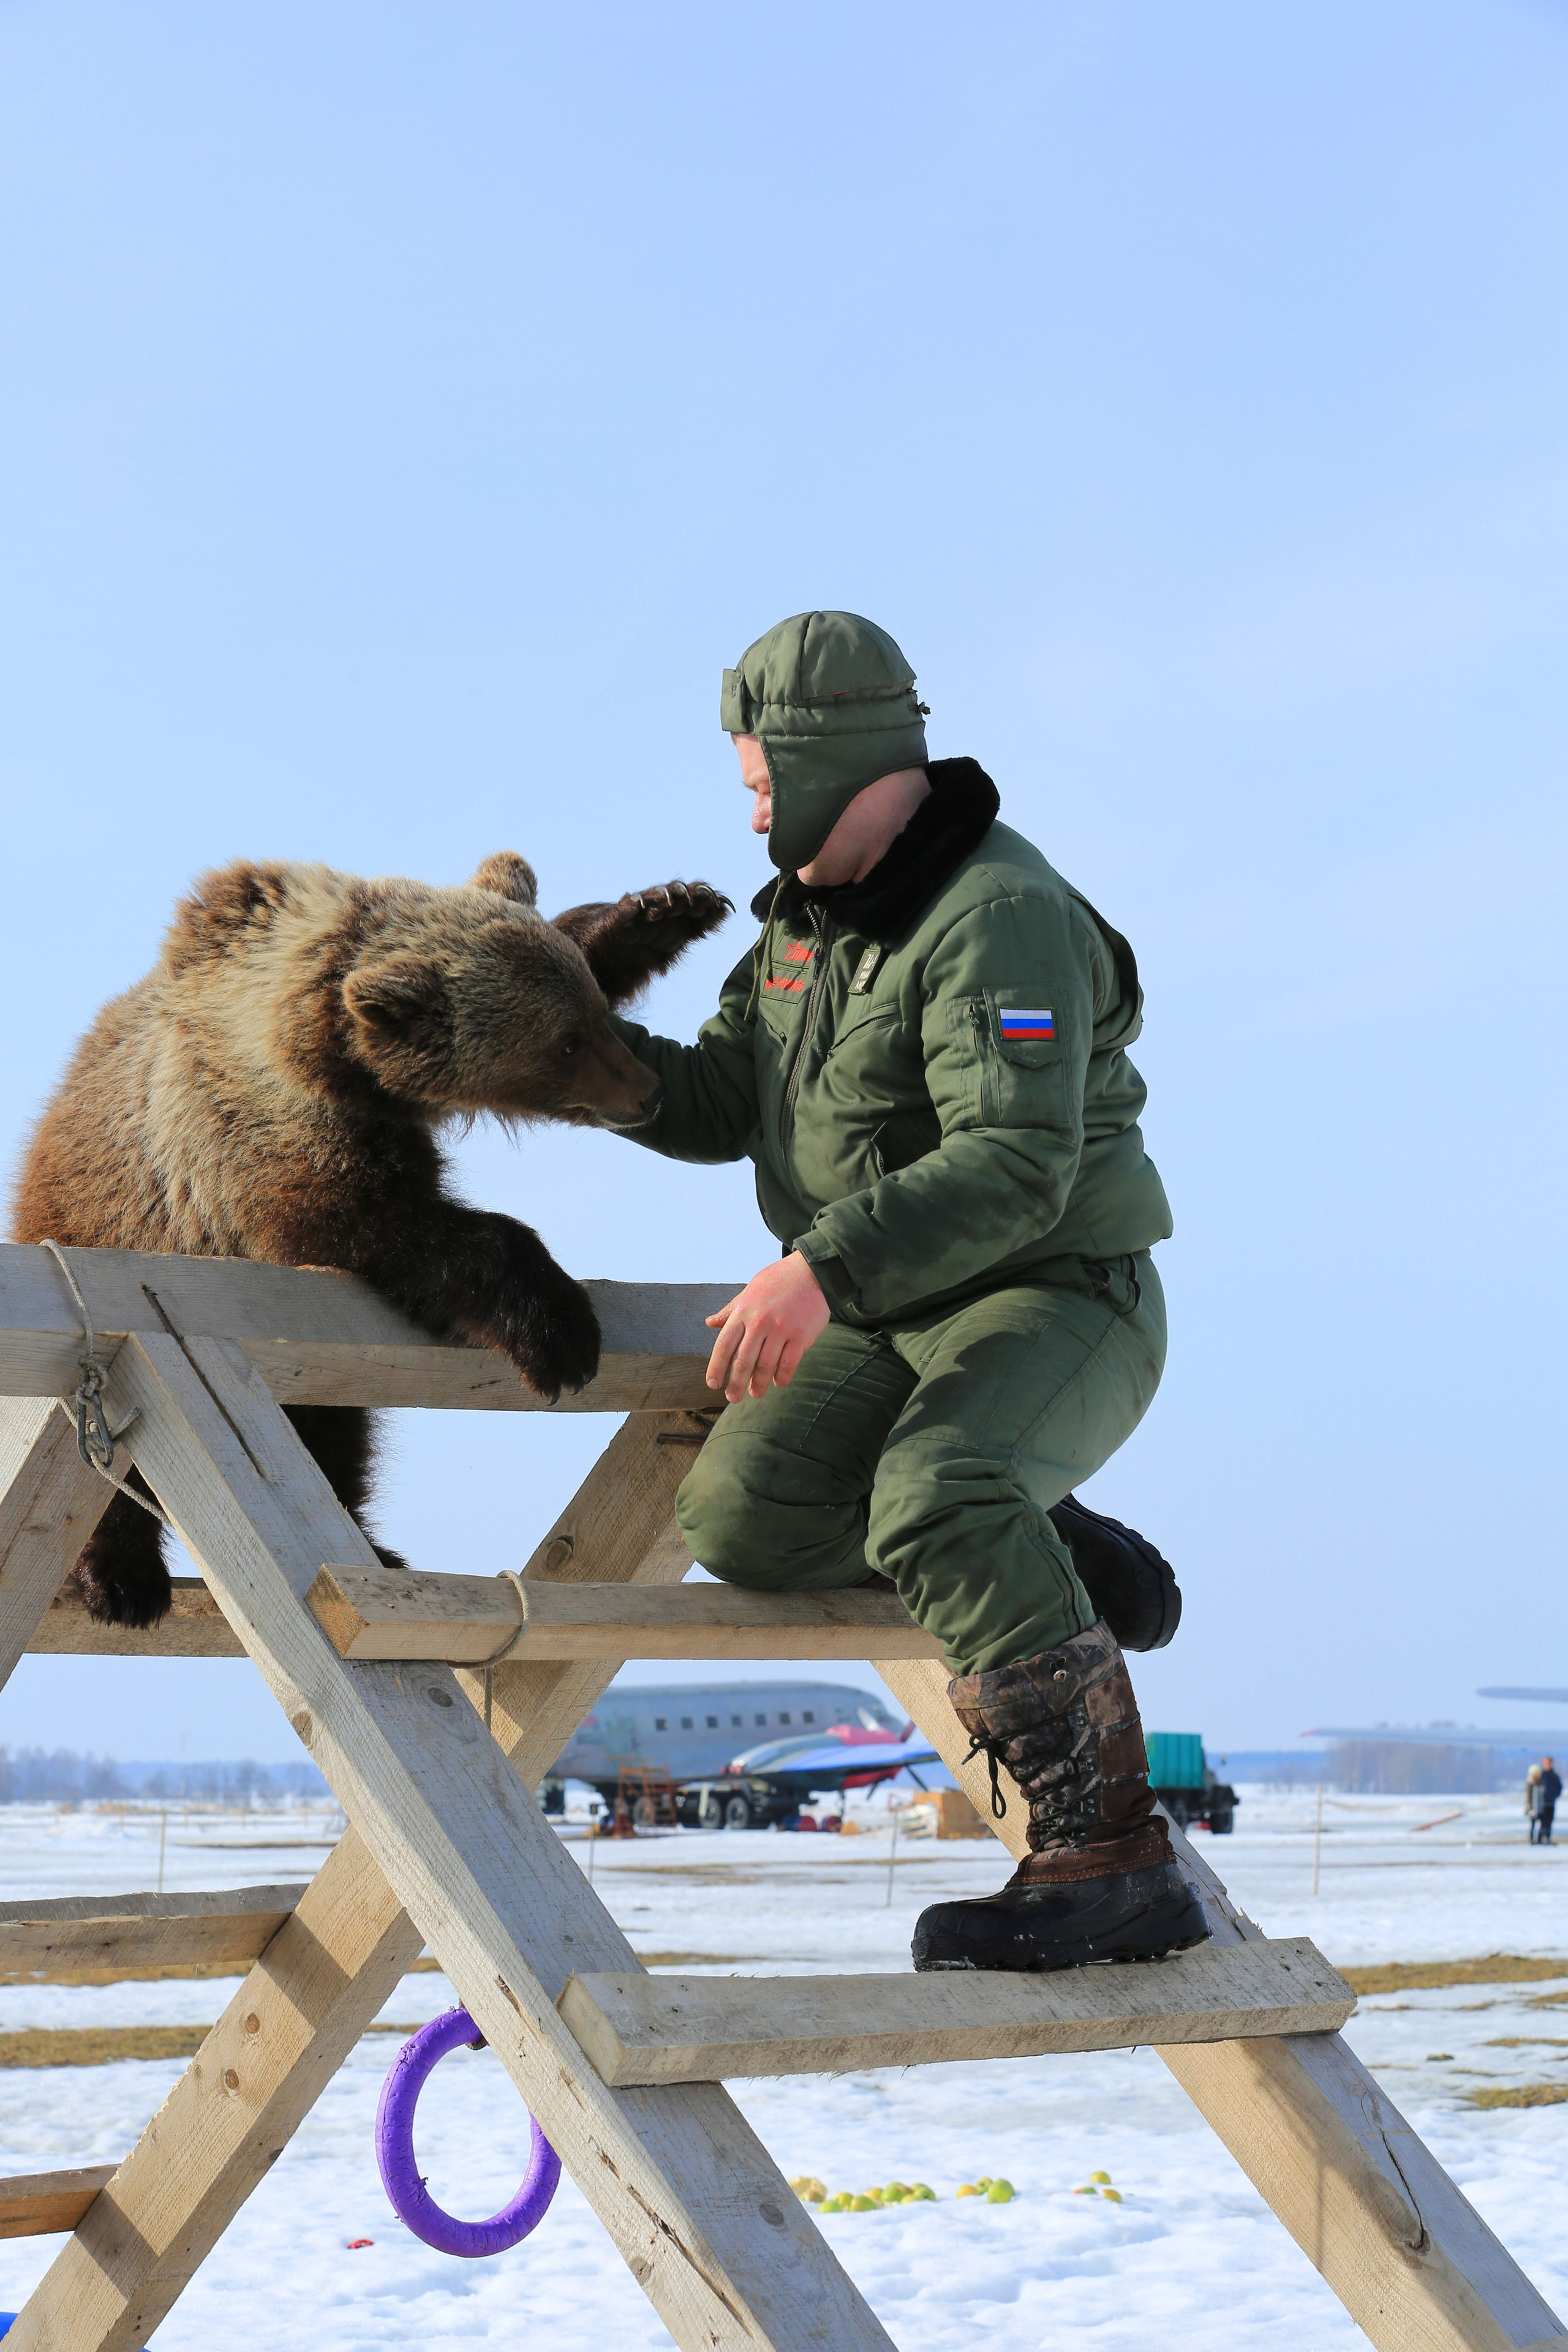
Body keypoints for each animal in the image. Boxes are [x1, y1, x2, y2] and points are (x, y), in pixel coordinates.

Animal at [11, 850, 730, 1628]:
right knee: (107, 1459)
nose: (648, 1091)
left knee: (335, 1439)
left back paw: (374, 1548)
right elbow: (383, 1224)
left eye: (596, 1014)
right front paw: (559, 1334)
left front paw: (668, 907)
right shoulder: (256, 1141)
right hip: (94, 1246)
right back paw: (121, 1578)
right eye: (564, 1042)